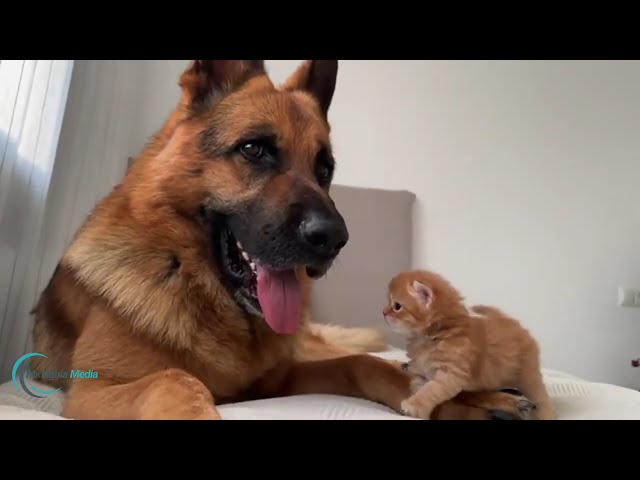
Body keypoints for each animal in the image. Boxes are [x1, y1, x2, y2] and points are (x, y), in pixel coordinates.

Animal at [28, 61, 528, 420]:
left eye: (325, 170)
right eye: (254, 149)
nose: (334, 240)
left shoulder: (279, 380)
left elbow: (367, 365)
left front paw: (449, 404)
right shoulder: (93, 390)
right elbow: (174, 380)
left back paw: (495, 397)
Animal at [380, 270, 556, 420]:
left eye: (397, 306)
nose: (383, 312)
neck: (432, 336)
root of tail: (515, 324)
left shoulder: (451, 374)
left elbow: (431, 390)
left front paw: (414, 405)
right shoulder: (422, 370)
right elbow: (418, 382)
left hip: (527, 375)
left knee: (541, 398)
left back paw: (544, 414)